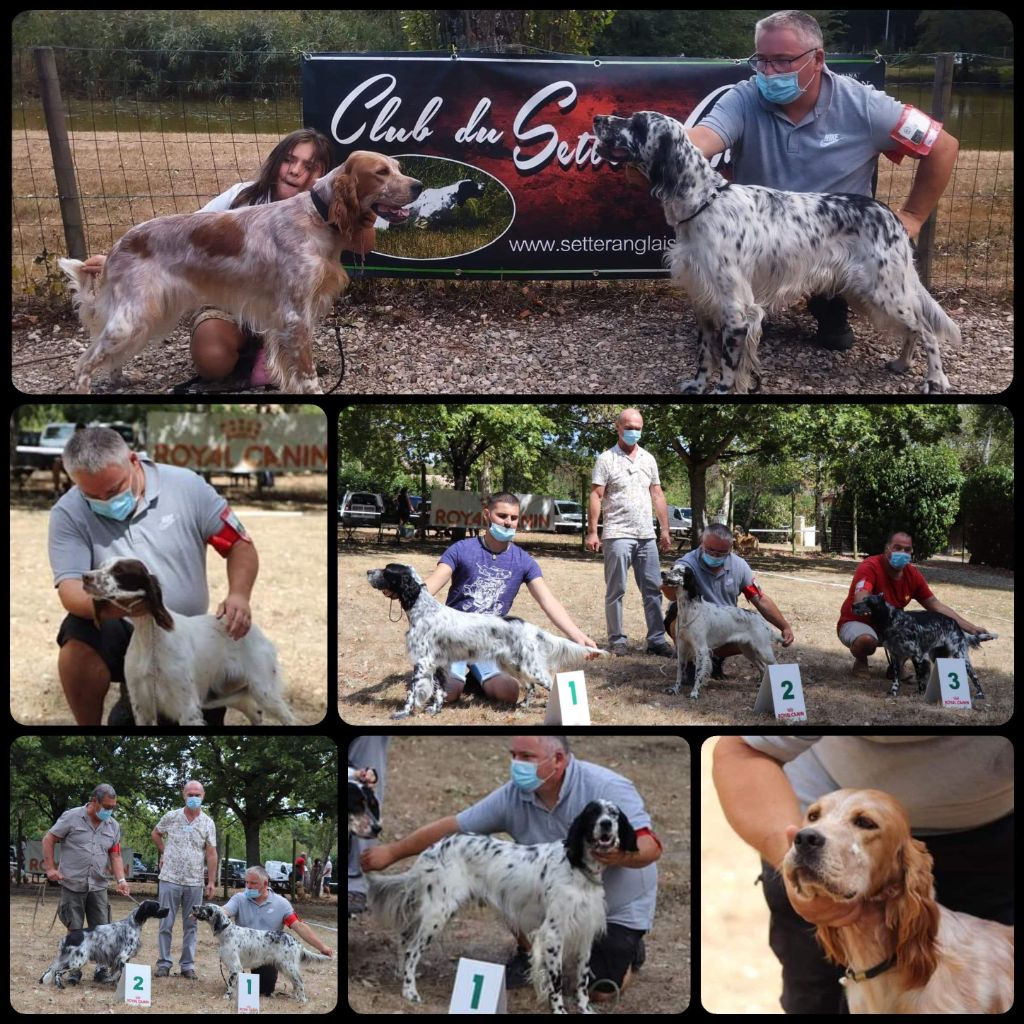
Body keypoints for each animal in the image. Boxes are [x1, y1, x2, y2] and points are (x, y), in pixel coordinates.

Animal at [59, 149, 421, 393]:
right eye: (381, 172)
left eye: (399, 168)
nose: (418, 185)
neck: (318, 216)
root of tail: (117, 246)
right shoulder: (293, 315)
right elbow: (307, 373)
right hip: (133, 315)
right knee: (83, 364)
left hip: (145, 316)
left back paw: (120, 378)